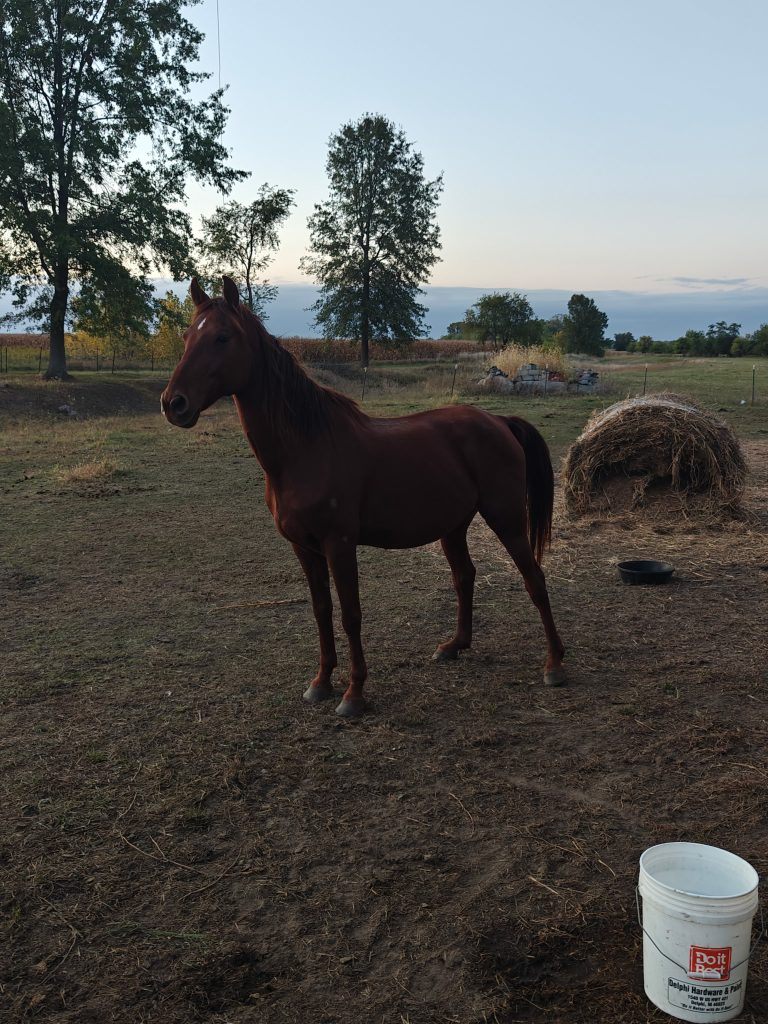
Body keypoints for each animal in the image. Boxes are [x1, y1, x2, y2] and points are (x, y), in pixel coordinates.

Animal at [161, 277, 566, 717]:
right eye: (186, 337)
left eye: (222, 337)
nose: (173, 403)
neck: (306, 448)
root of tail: (499, 421)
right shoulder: (304, 548)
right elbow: (322, 612)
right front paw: (321, 682)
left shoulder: (339, 544)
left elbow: (351, 614)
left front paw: (354, 693)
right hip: (454, 526)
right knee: (465, 577)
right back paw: (455, 646)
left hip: (506, 518)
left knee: (534, 578)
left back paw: (554, 664)